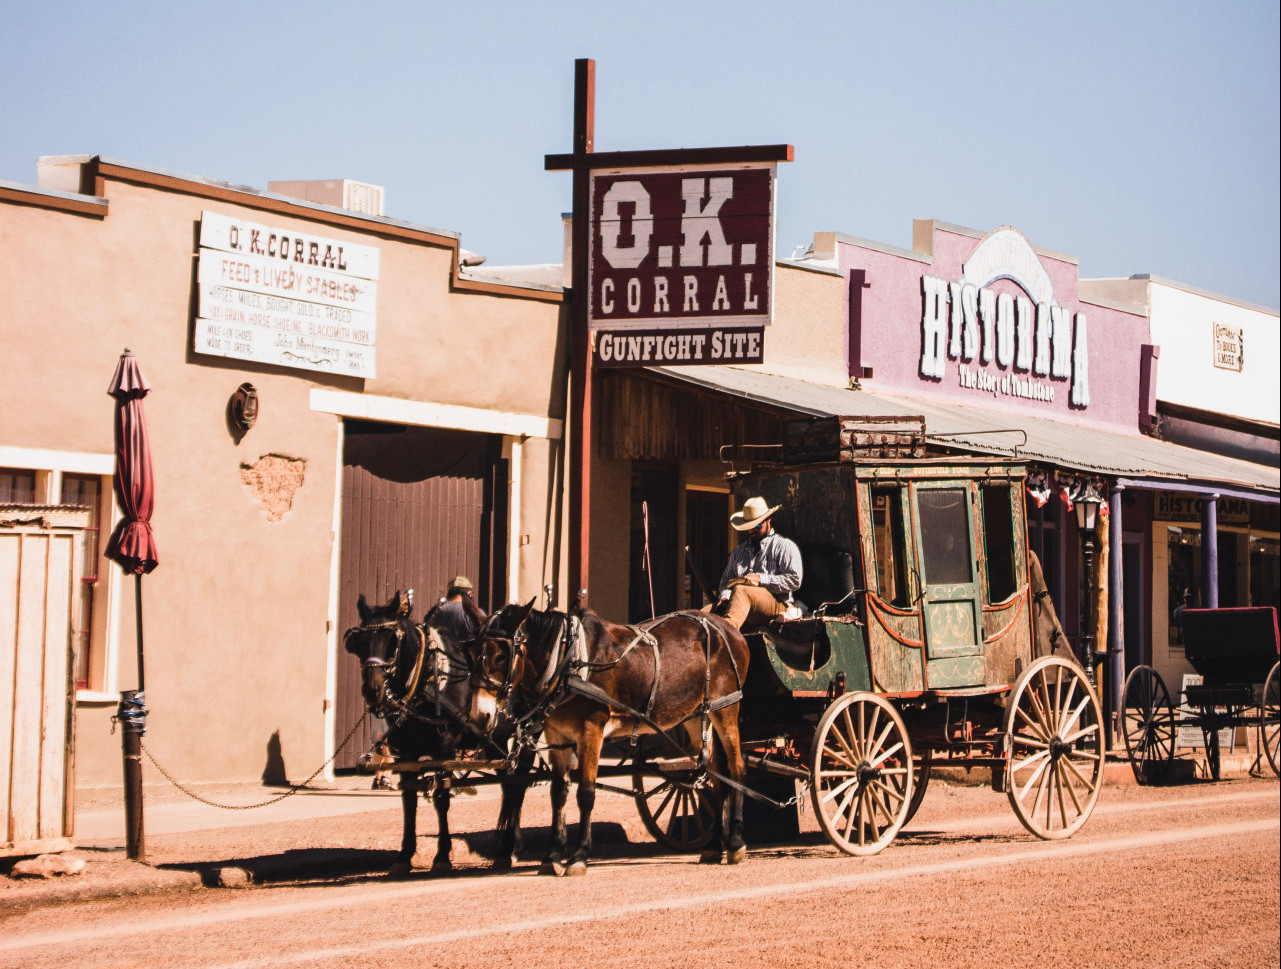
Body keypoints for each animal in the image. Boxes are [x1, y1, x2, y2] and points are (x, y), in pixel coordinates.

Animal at [343, 589, 527, 876]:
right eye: (359, 642)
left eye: (391, 641)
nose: (372, 690)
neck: (426, 679)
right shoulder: (406, 752)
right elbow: (409, 799)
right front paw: (404, 855)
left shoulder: (445, 748)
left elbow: (441, 797)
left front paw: (442, 856)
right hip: (493, 742)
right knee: (511, 785)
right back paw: (510, 845)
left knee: (519, 783)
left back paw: (509, 848)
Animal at [476, 602, 748, 876]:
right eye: (476, 654)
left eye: (501, 656)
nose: (481, 714)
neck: (569, 662)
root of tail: (726, 627)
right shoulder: (557, 735)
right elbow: (558, 794)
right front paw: (552, 856)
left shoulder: (591, 731)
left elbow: (586, 793)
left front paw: (579, 856)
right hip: (696, 715)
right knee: (717, 776)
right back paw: (714, 846)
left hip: (726, 708)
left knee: (735, 769)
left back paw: (736, 843)